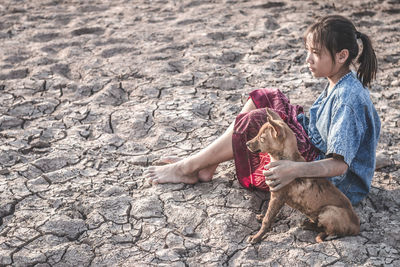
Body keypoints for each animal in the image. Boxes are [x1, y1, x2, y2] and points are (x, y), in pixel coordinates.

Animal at [245, 109, 360, 245]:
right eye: (257, 133)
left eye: (262, 138)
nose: (246, 144)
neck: (283, 158)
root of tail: (357, 227)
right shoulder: (276, 197)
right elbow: (270, 214)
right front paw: (264, 217)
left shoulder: (277, 196)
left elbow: (267, 219)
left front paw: (257, 237)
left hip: (328, 211)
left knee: (327, 230)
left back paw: (308, 225)